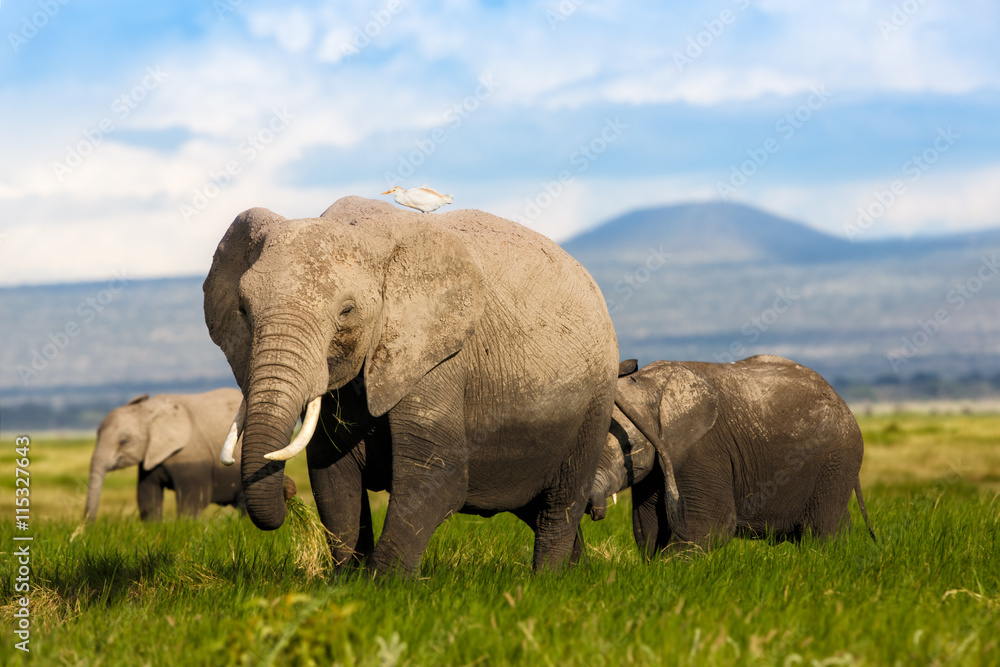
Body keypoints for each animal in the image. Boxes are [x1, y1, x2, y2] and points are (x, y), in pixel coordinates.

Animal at [85, 389, 249, 521]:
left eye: (124, 441)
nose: (88, 527)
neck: (150, 408)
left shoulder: (193, 456)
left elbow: (192, 502)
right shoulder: (150, 455)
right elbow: (147, 496)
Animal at [202, 196, 631, 575]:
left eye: (347, 311)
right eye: (243, 309)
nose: (288, 490)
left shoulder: (436, 356)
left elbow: (435, 475)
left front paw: (383, 586)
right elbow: (332, 476)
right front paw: (347, 583)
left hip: (595, 399)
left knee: (560, 506)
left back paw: (548, 582)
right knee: (535, 506)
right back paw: (574, 576)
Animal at [587, 356, 875, 556]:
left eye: (631, 447)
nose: (595, 510)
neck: (649, 385)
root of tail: (844, 405)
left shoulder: (702, 450)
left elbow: (708, 526)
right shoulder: (657, 468)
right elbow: (648, 529)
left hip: (836, 459)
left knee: (820, 532)